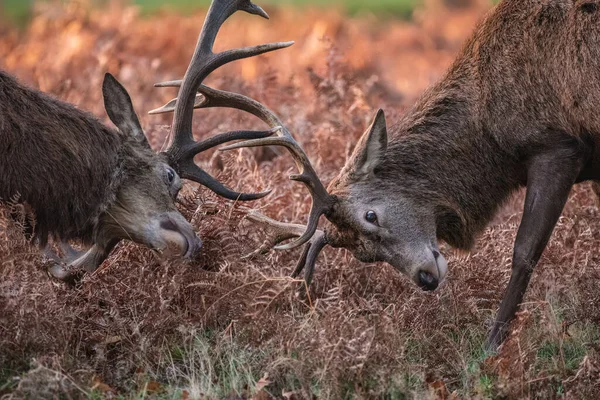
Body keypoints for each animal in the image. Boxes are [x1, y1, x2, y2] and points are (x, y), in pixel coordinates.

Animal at [151, 0, 600, 350]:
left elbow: (524, 253)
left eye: (371, 214)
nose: (426, 278)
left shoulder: (556, 145)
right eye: (364, 255)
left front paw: (491, 348)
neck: (492, 136)